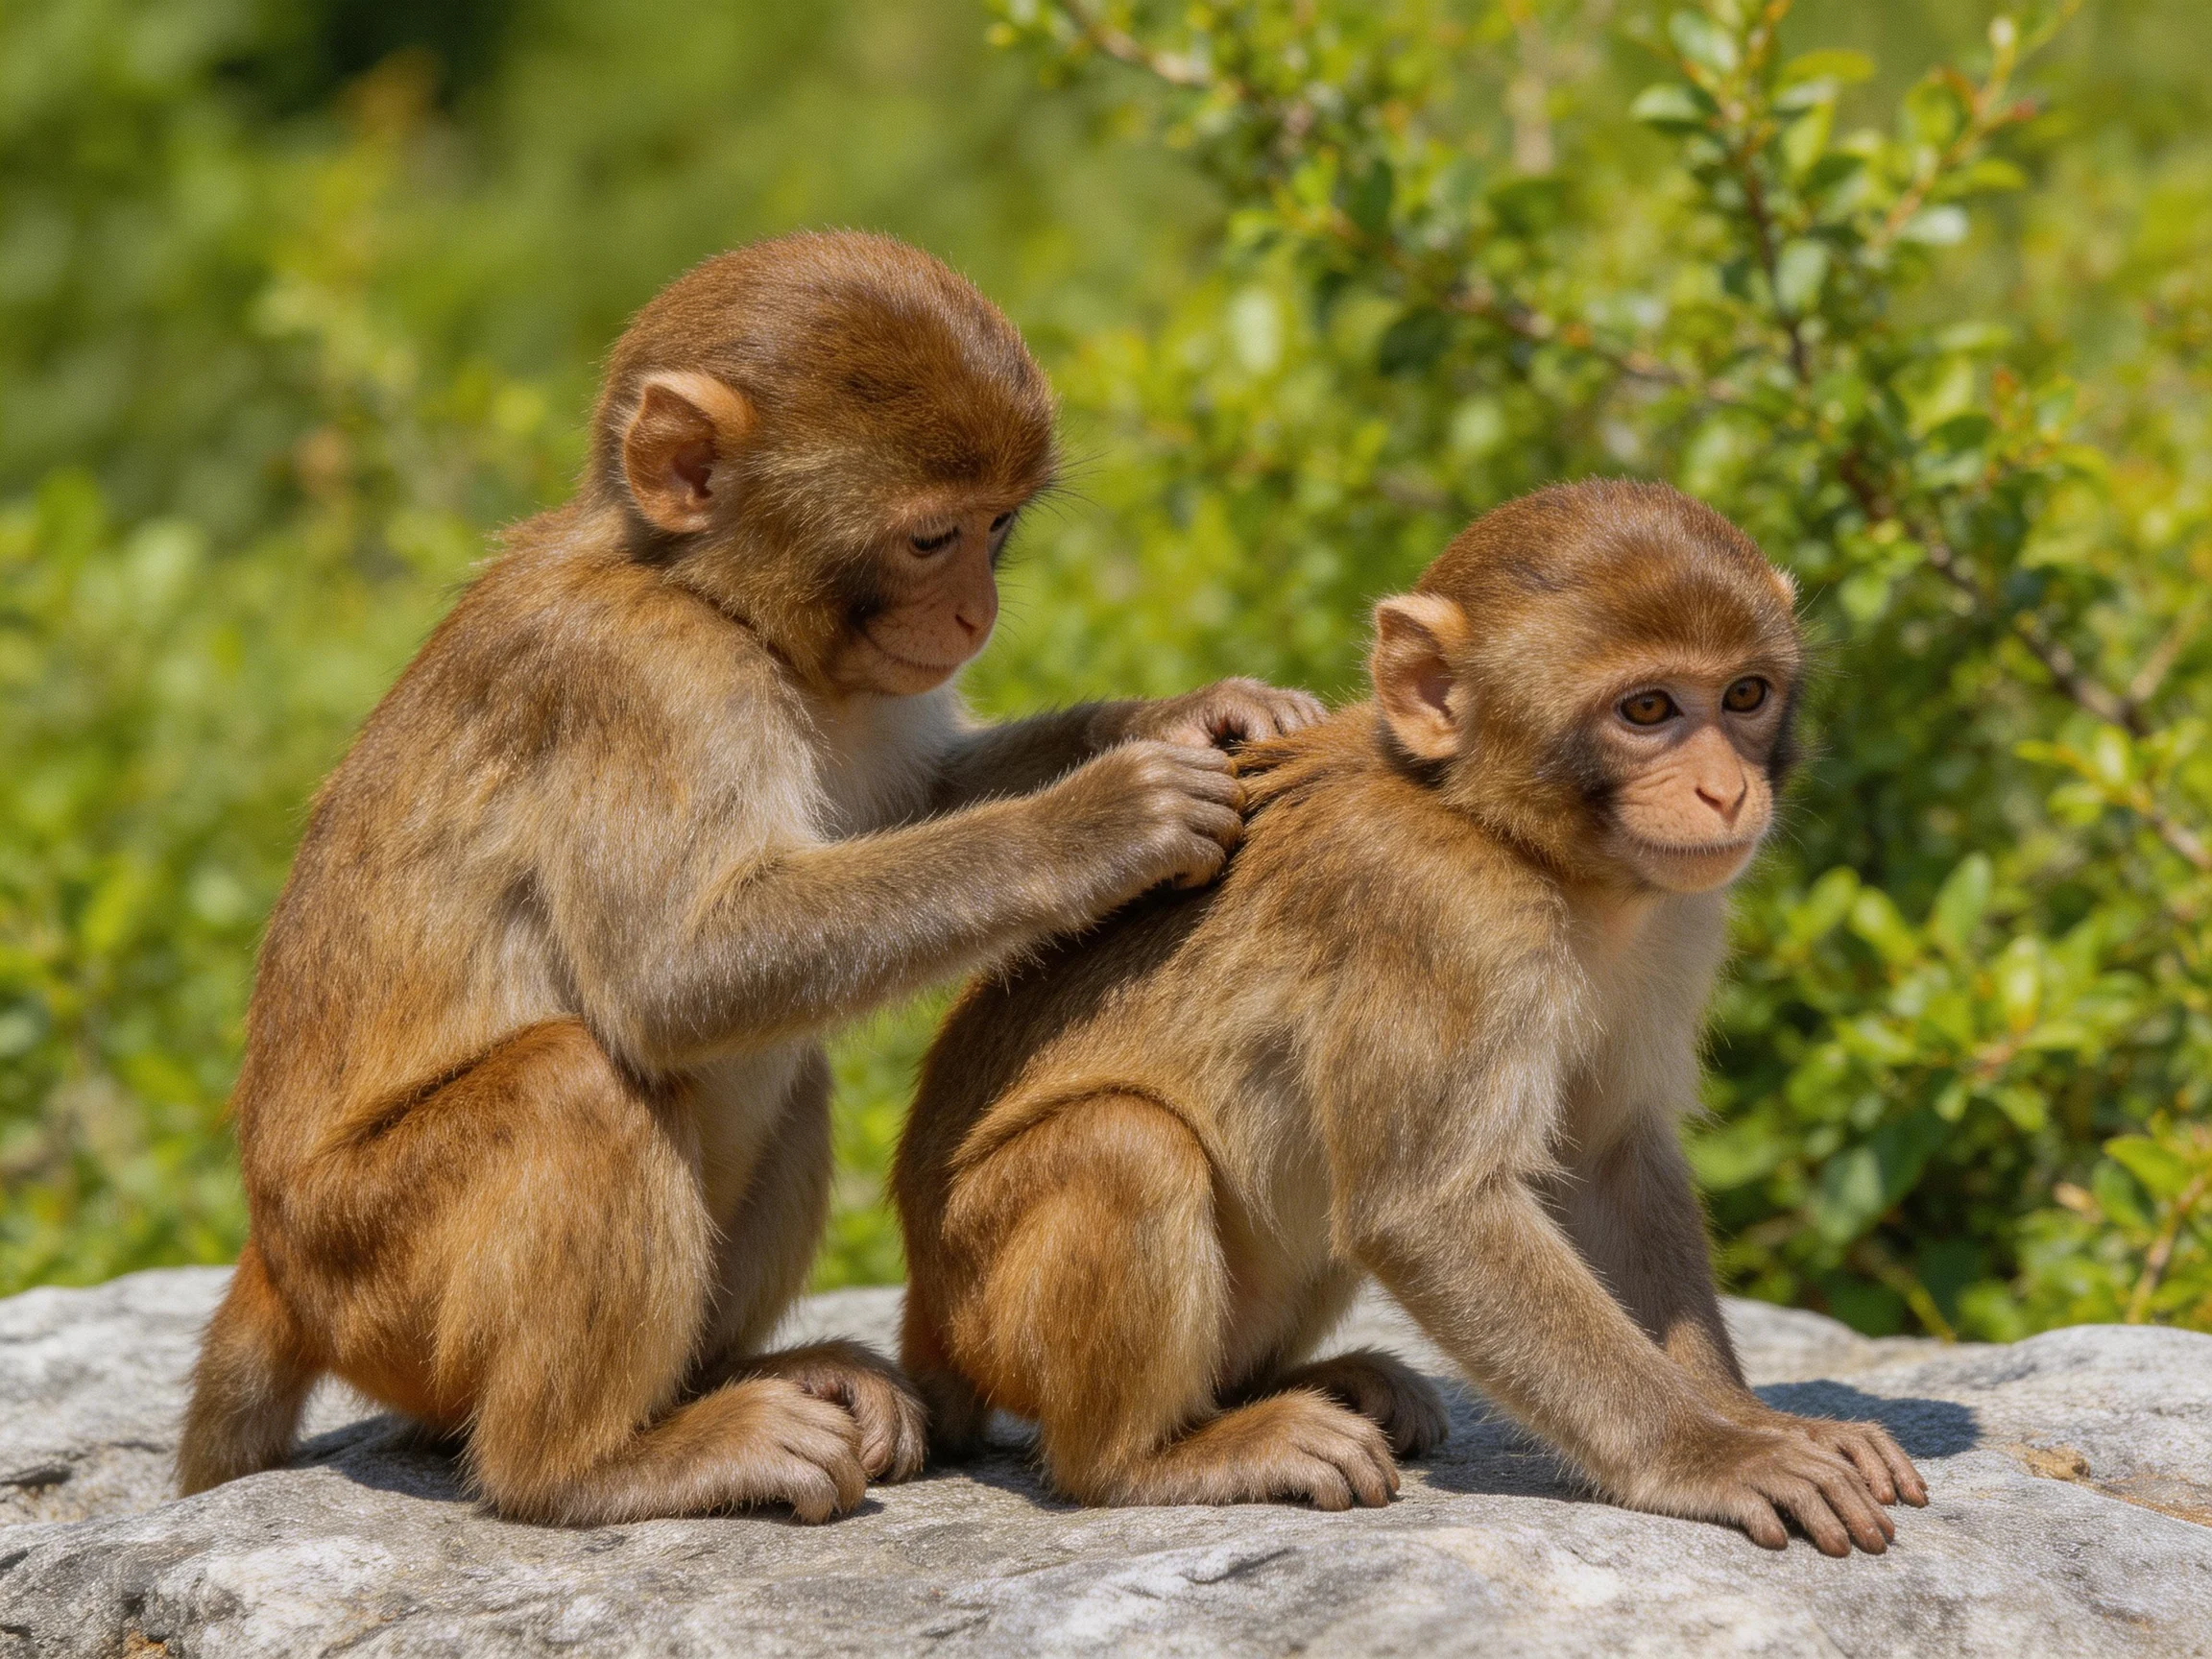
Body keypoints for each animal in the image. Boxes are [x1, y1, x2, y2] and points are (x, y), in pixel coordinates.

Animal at [175, 231, 1327, 1526]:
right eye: (932, 539)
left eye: (999, 528)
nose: (975, 614)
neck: (698, 591)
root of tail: (278, 1264)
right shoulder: (645, 684)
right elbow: (675, 975)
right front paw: (1102, 822)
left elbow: (911, 796)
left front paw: (1204, 711)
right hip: (377, 1276)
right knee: (577, 1083)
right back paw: (595, 1461)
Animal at [894, 479, 1930, 1556]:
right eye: (1648, 709)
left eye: (1744, 696)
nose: (1726, 791)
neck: (1510, 837)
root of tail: (927, 1310)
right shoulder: (1439, 920)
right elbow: (1430, 1209)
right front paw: (1715, 1454)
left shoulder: (1679, 917)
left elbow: (1607, 1155)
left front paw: (1754, 1416)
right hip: (991, 1309)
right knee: (1125, 1140)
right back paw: (1152, 1456)